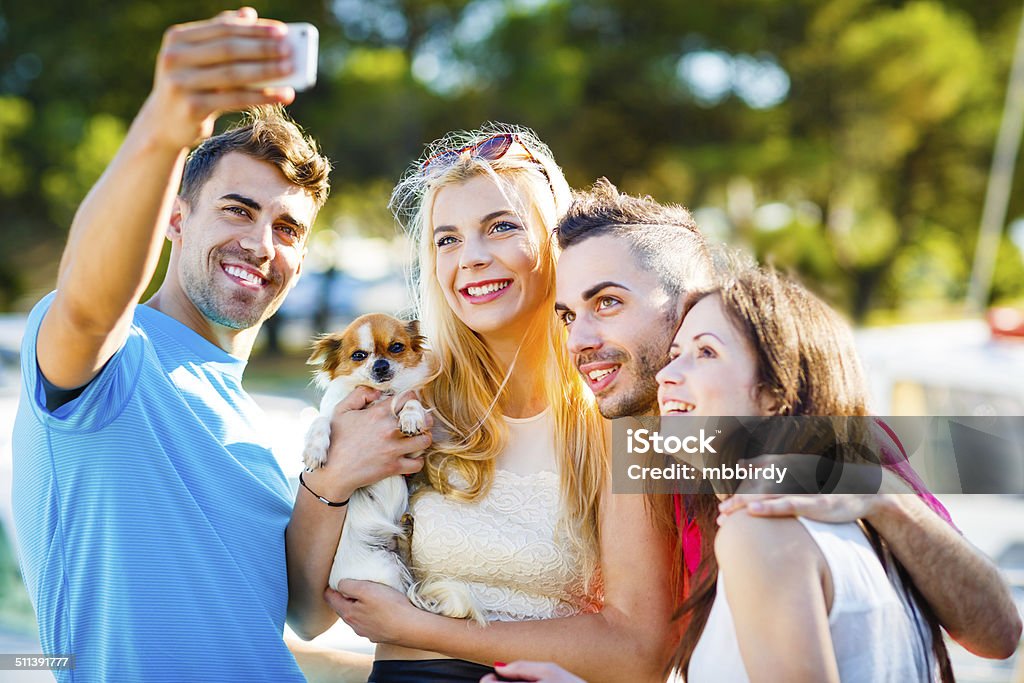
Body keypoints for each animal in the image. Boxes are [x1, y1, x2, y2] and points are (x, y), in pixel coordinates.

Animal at [299, 315, 436, 598]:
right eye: (358, 355)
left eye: (396, 347)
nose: (380, 365)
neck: (380, 394)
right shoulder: (334, 412)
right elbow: (321, 419)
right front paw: (314, 450)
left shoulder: (413, 453)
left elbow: (411, 402)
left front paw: (411, 417)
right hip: (386, 571)